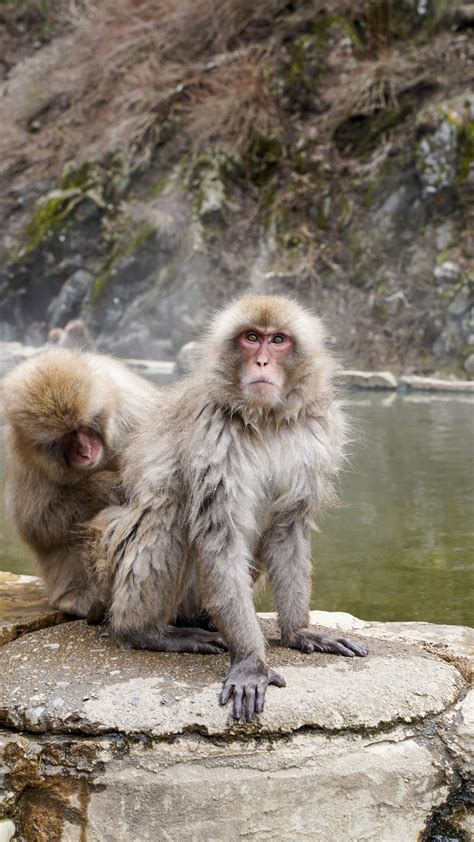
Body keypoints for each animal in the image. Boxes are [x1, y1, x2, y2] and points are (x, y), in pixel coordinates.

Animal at [90, 295, 368, 720]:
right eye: (251, 338)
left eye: (278, 340)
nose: (263, 362)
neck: (266, 418)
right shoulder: (212, 431)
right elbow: (220, 534)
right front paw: (252, 662)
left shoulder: (314, 435)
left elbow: (287, 528)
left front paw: (298, 632)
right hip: (114, 571)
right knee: (169, 508)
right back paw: (145, 632)